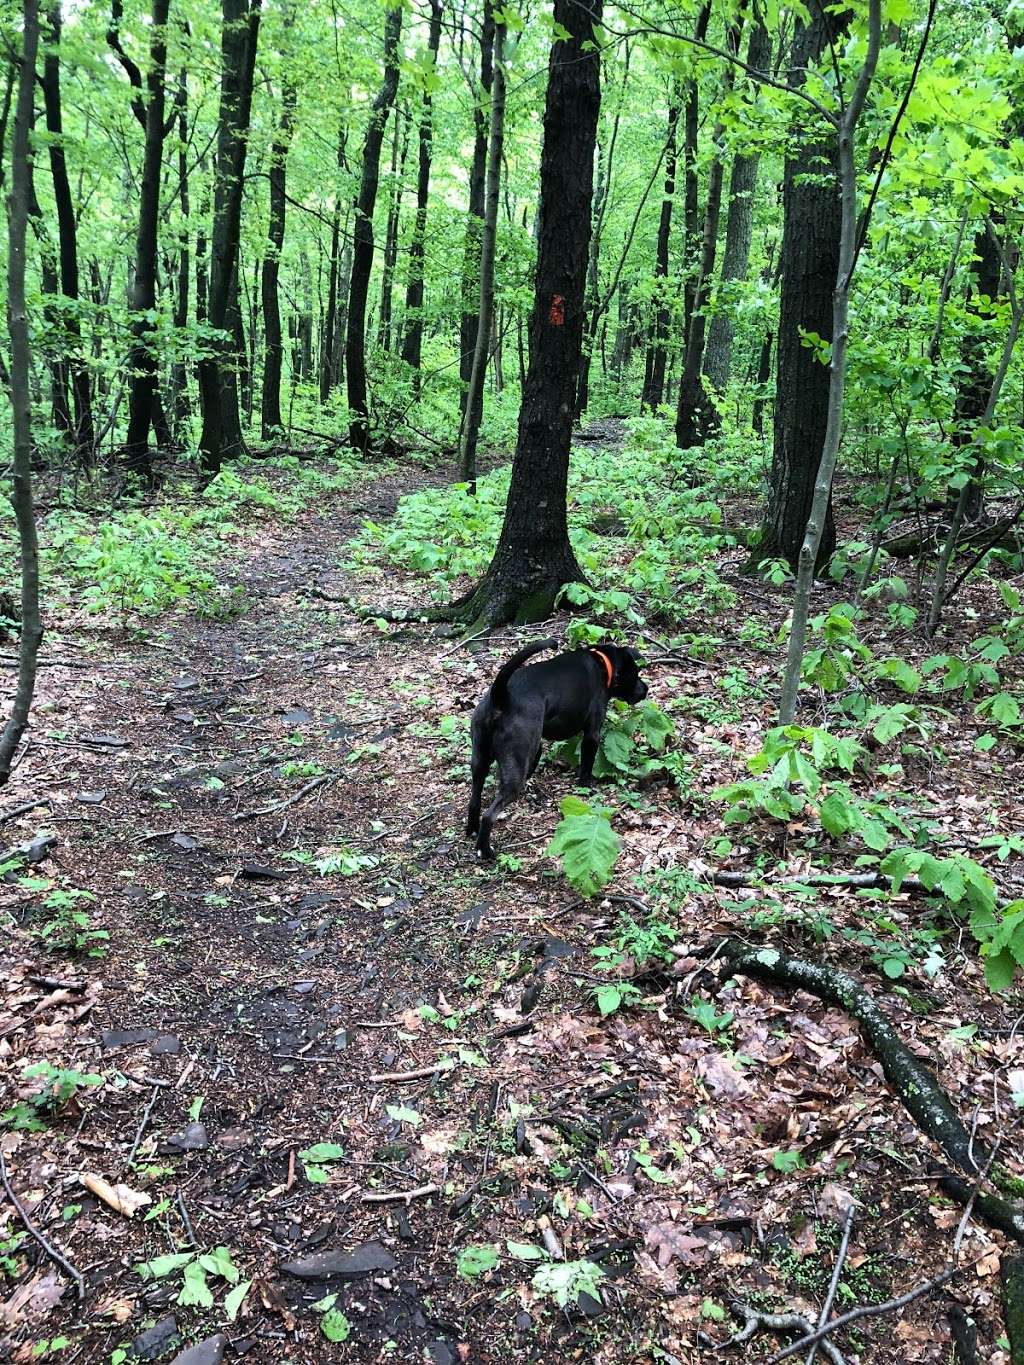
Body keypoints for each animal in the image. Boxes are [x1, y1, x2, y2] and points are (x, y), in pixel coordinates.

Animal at [466, 641, 649, 862]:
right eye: (636, 673)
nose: (646, 689)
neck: (603, 663)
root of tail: (501, 696)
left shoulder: (537, 745)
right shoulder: (592, 733)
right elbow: (586, 766)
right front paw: (586, 787)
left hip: (480, 760)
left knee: (474, 800)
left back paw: (472, 829)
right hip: (513, 771)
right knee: (489, 815)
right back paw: (485, 849)